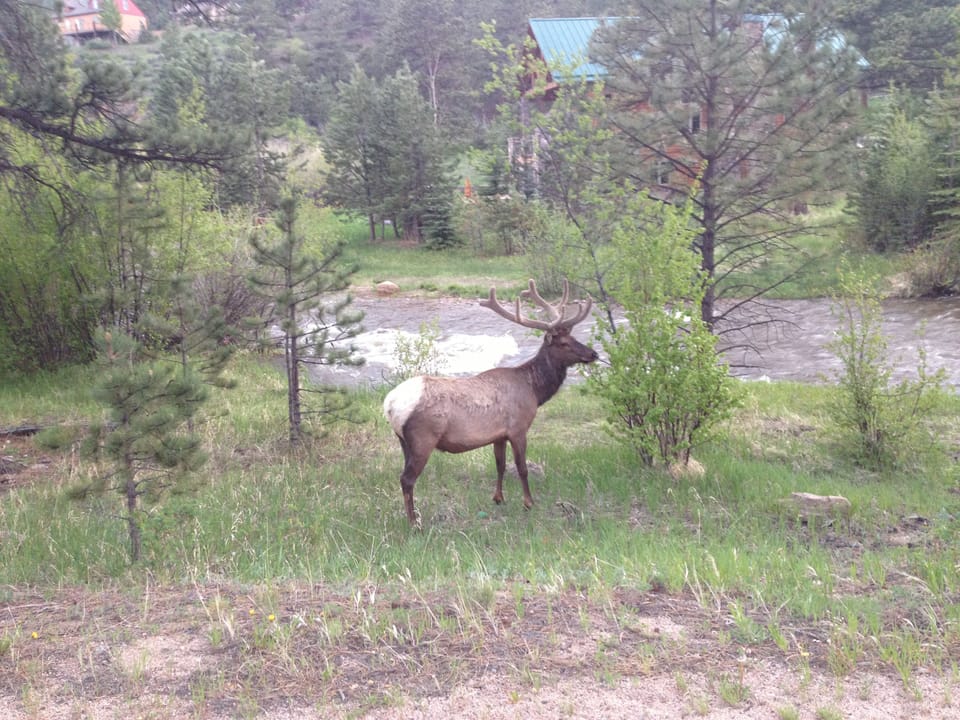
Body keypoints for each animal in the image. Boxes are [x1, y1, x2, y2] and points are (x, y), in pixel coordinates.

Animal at [383, 279, 598, 526]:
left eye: (574, 337)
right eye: (563, 343)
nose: (593, 354)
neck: (534, 391)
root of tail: (389, 405)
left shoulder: (499, 435)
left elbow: (500, 466)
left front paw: (498, 498)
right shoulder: (518, 428)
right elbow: (522, 468)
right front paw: (529, 502)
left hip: (403, 441)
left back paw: (414, 515)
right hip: (423, 438)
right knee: (407, 479)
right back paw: (414, 522)